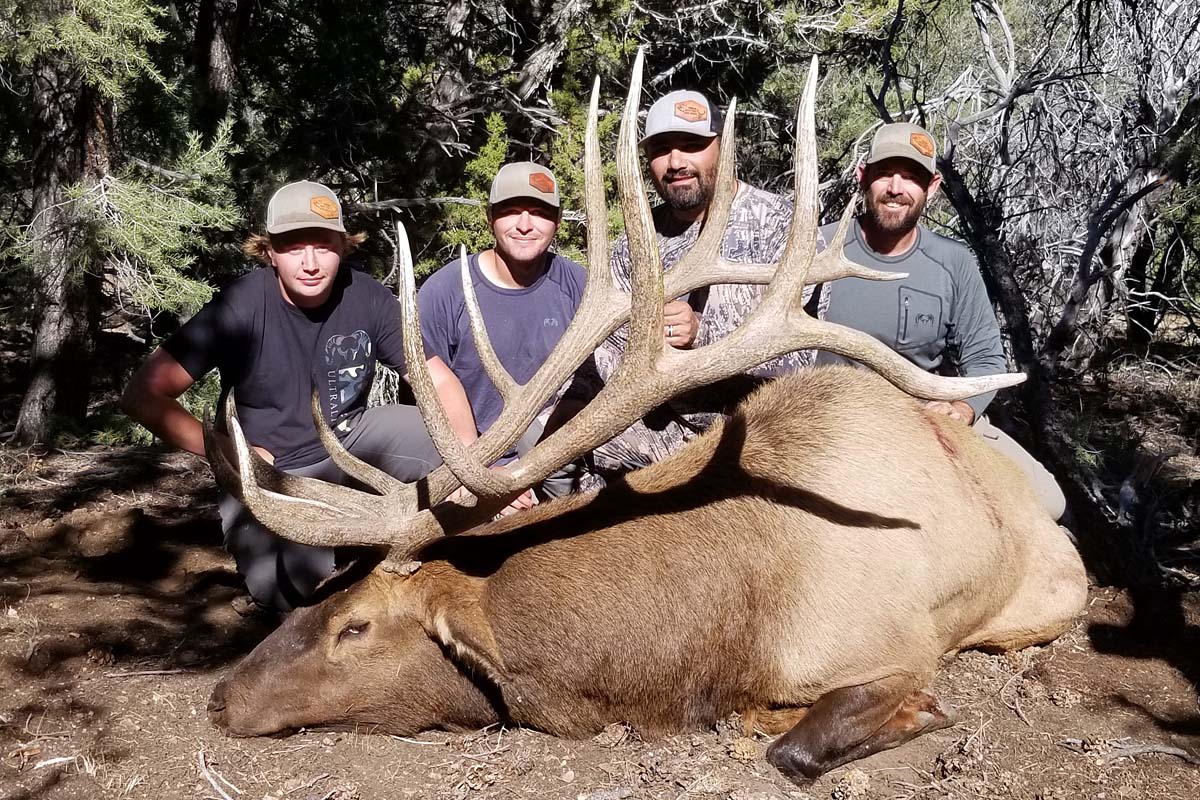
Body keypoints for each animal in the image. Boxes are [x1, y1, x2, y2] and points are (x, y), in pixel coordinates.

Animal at [204, 53, 1089, 786]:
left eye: (355, 627)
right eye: (325, 592)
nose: (219, 697)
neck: (726, 628)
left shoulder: (894, 646)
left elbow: (797, 742)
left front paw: (906, 714)